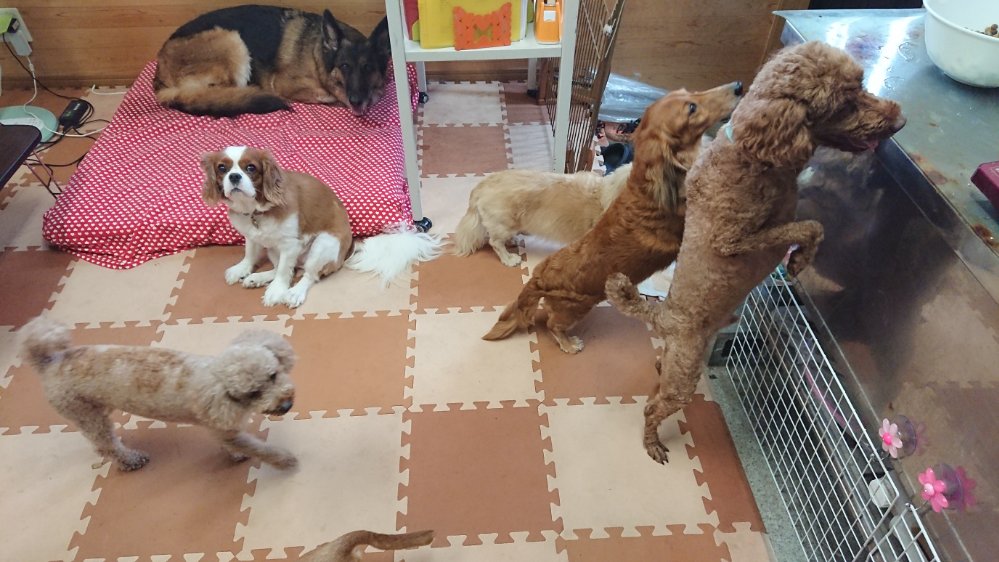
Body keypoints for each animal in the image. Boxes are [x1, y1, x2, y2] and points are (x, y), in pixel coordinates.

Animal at [19, 316, 298, 471]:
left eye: (273, 375)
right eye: (254, 393)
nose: (286, 406)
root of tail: (50, 362)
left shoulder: (225, 429)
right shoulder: (222, 426)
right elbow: (259, 448)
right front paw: (284, 460)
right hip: (85, 415)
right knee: (107, 446)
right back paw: (131, 460)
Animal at [154, 5, 390, 117]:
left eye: (368, 67)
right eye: (345, 66)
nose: (357, 100)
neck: (317, 54)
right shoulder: (287, 84)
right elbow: (328, 95)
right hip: (232, 41)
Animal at [201, 146, 354, 308]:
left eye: (251, 167)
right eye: (222, 168)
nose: (234, 176)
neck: (255, 209)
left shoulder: (290, 244)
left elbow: (283, 271)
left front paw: (277, 290)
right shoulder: (251, 236)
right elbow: (250, 254)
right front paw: (242, 268)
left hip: (324, 244)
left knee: (309, 275)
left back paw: (294, 292)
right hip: (273, 249)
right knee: (285, 269)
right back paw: (257, 278)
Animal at [482, 81, 743, 353]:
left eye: (691, 92)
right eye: (691, 108)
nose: (738, 86)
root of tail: (538, 278)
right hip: (573, 308)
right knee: (552, 323)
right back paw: (568, 343)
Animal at [605, 41, 906, 463]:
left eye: (861, 85)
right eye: (844, 104)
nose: (900, 120)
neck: (753, 151)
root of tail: (661, 315)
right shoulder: (735, 239)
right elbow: (810, 227)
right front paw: (798, 260)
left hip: (682, 360)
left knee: (658, 376)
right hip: (685, 375)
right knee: (652, 407)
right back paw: (652, 443)